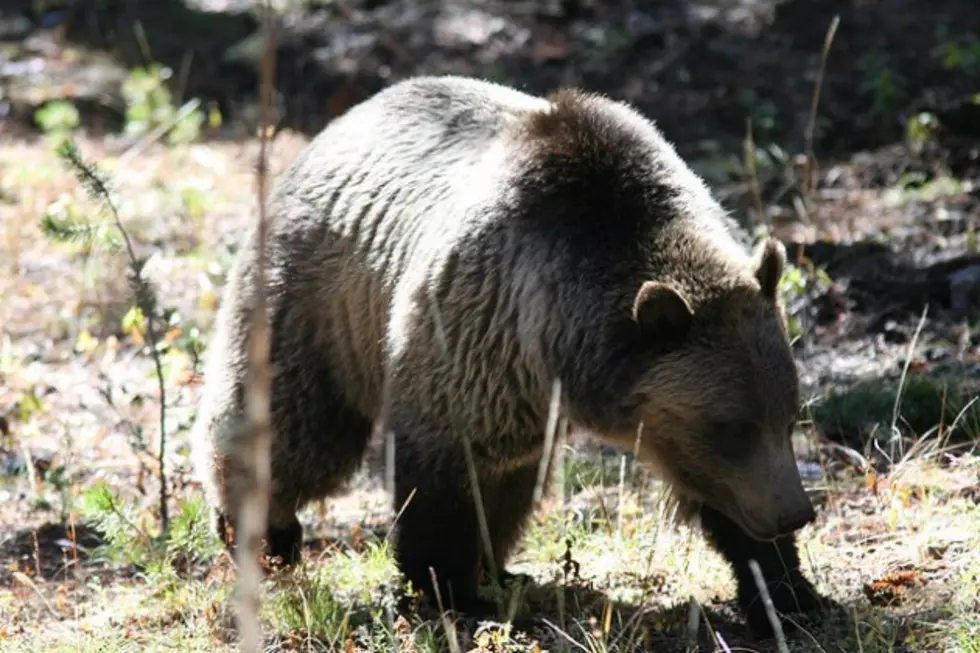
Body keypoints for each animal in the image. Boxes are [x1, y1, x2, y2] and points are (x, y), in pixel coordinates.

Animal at [189, 74, 828, 636]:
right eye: (730, 425)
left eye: (788, 415)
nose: (795, 512)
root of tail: (335, 125)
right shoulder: (475, 329)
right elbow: (443, 477)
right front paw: (446, 590)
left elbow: (724, 501)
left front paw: (790, 594)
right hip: (316, 299)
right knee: (294, 426)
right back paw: (260, 532)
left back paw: (500, 566)